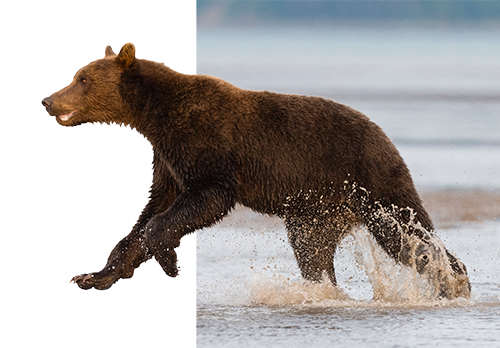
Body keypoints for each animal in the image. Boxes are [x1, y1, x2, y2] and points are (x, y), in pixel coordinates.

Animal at [41, 42, 470, 300]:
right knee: (312, 251)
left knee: (405, 233)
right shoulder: (165, 159)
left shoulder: (205, 143)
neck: (155, 117)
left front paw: (170, 261)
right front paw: (93, 276)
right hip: (315, 210)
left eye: (82, 79)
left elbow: (201, 199)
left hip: (371, 178)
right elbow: (148, 212)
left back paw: (455, 280)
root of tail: (385, 135)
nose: (47, 99)